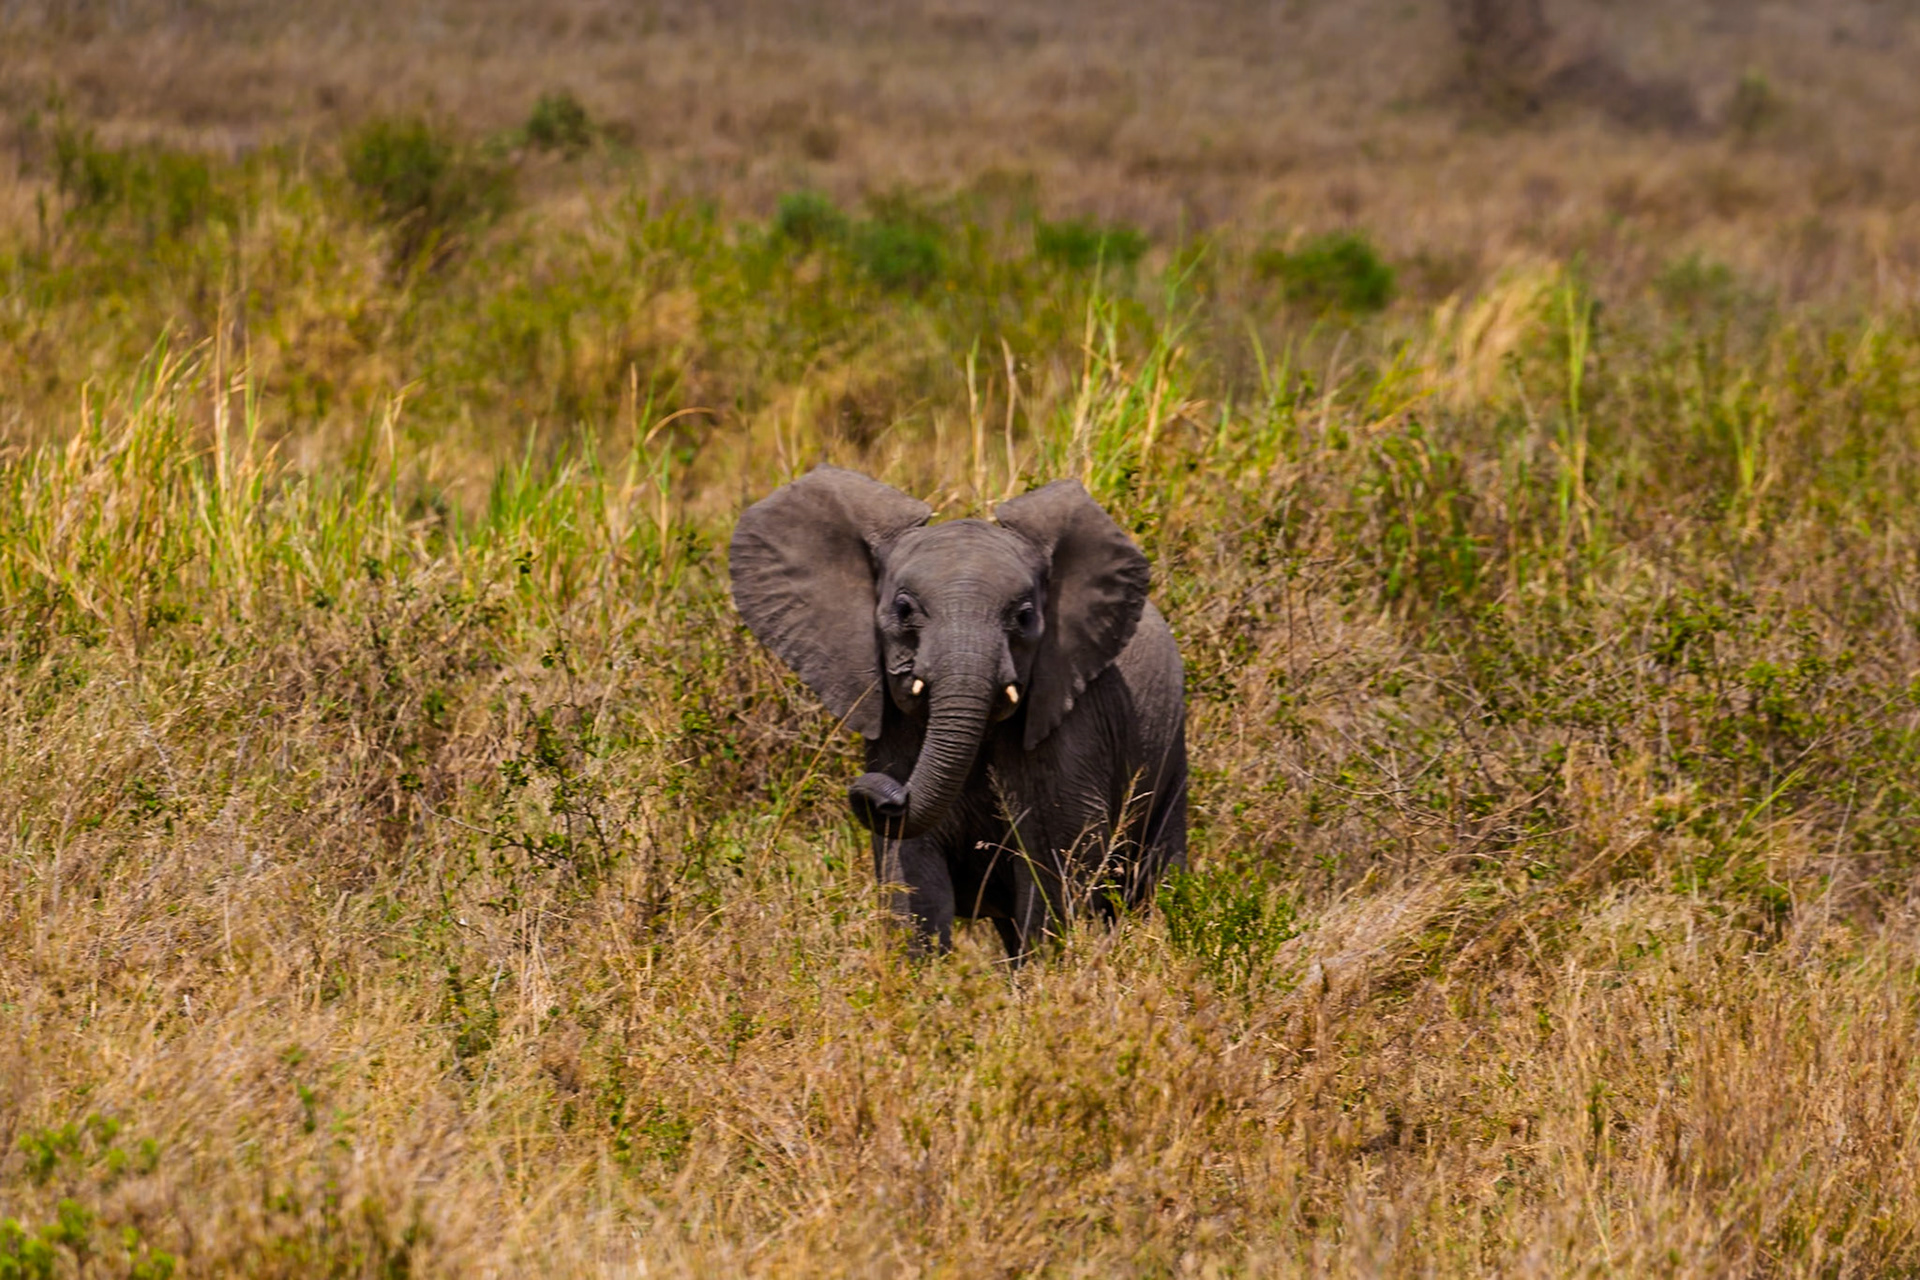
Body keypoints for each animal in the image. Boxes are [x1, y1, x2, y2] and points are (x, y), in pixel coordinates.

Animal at [730, 466, 1187, 960]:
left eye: (1024, 617)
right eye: (904, 609)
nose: (877, 792)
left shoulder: (1072, 722)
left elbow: (1055, 856)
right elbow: (911, 871)